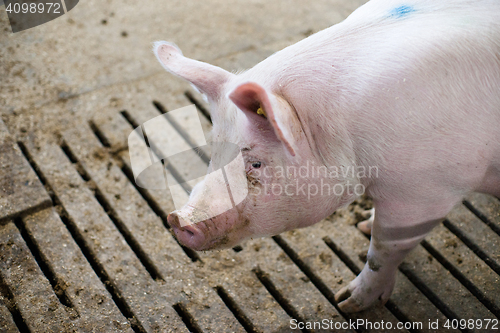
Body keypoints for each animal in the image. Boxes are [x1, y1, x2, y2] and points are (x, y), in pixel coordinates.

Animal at [154, 0, 498, 312]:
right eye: (214, 150)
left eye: (256, 163)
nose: (178, 219)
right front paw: (363, 223)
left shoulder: (423, 191)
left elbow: (382, 250)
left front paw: (345, 302)